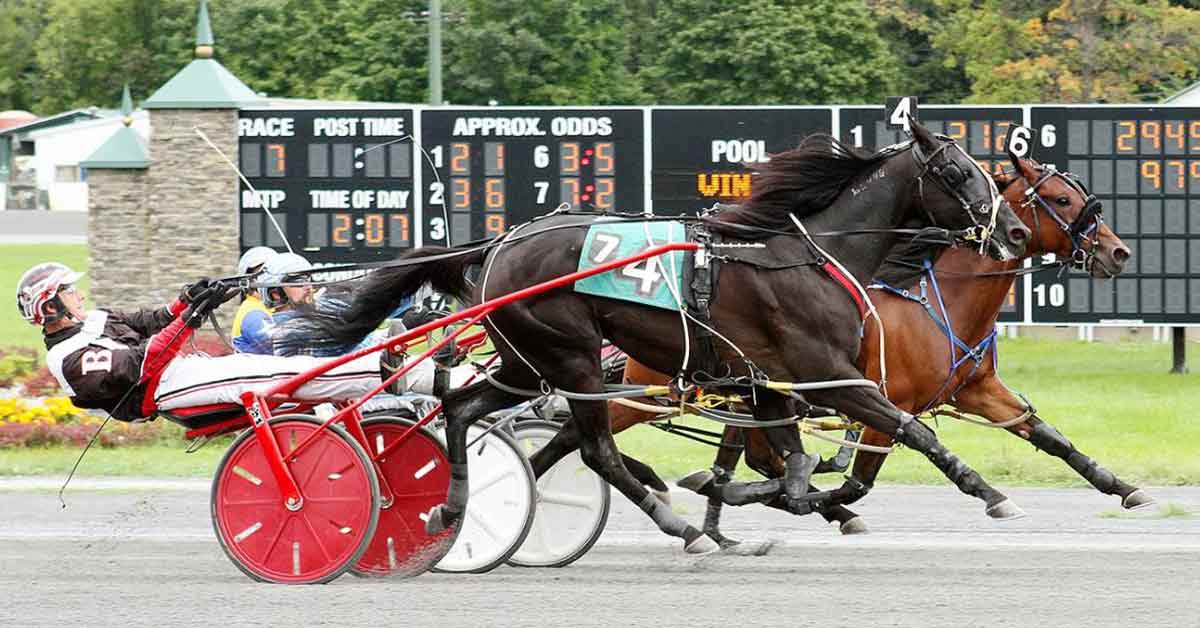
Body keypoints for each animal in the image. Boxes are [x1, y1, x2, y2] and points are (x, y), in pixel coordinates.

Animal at [278, 120, 1032, 552]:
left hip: (526, 362)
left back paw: (454, 509)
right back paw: (678, 527)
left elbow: (789, 466)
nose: (1016, 232)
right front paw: (985, 489)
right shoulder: (826, 372)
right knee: (593, 450)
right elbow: (910, 429)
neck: (806, 255)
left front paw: (774, 501)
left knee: (464, 409)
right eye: (959, 172)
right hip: (573, 359)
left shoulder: (771, 382)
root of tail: (499, 242)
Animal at [614, 148, 1147, 545]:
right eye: (1060, 198)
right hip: (650, 392)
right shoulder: (887, 401)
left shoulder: (976, 388)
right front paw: (993, 497)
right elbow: (862, 479)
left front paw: (1122, 487)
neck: (936, 297)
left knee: (750, 456)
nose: (1118, 251)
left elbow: (1049, 436)